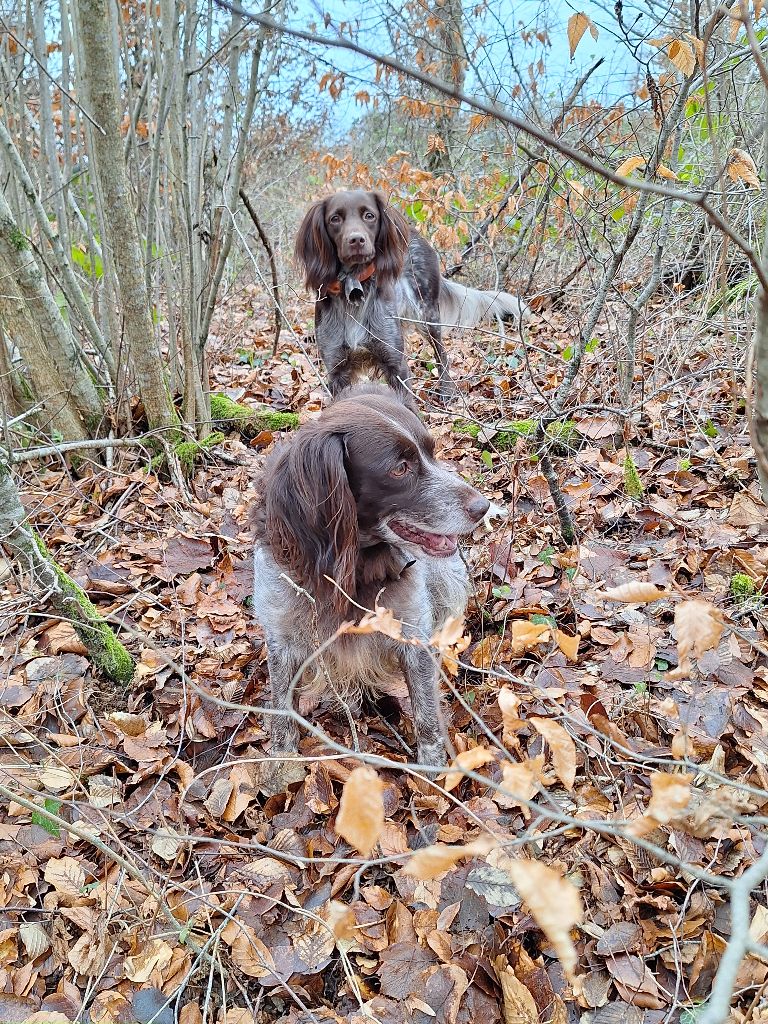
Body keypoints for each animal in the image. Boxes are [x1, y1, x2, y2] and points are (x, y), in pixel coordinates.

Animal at [253, 385, 493, 782]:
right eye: (400, 468)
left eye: (431, 452)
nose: (483, 507)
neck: (352, 571)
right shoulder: (283, 637)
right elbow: (281, 708)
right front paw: (281, 763)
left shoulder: (412, 632)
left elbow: (426, 711)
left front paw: (431, 774)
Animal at [294, 189, 528, 403]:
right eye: (335, 218)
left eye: (369, 215)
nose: (356, 240)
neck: (354, 285)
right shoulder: (337, 371)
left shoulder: (396, 365)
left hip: (428, 315)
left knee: (442, 355)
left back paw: (446, 391)